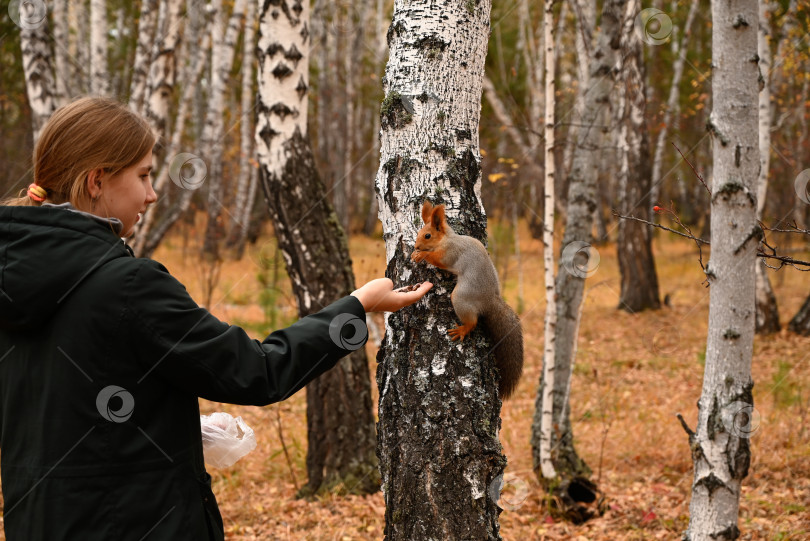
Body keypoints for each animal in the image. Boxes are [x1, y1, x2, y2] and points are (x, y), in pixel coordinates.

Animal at [410, 200, 524, 398]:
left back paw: (462, 330)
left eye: (427, 235)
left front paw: (421, 255)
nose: (416, 246)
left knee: (472, 322)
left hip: (461, 297)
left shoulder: (449, 254)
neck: (448, 239)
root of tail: (490, 300)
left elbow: (437, 259)